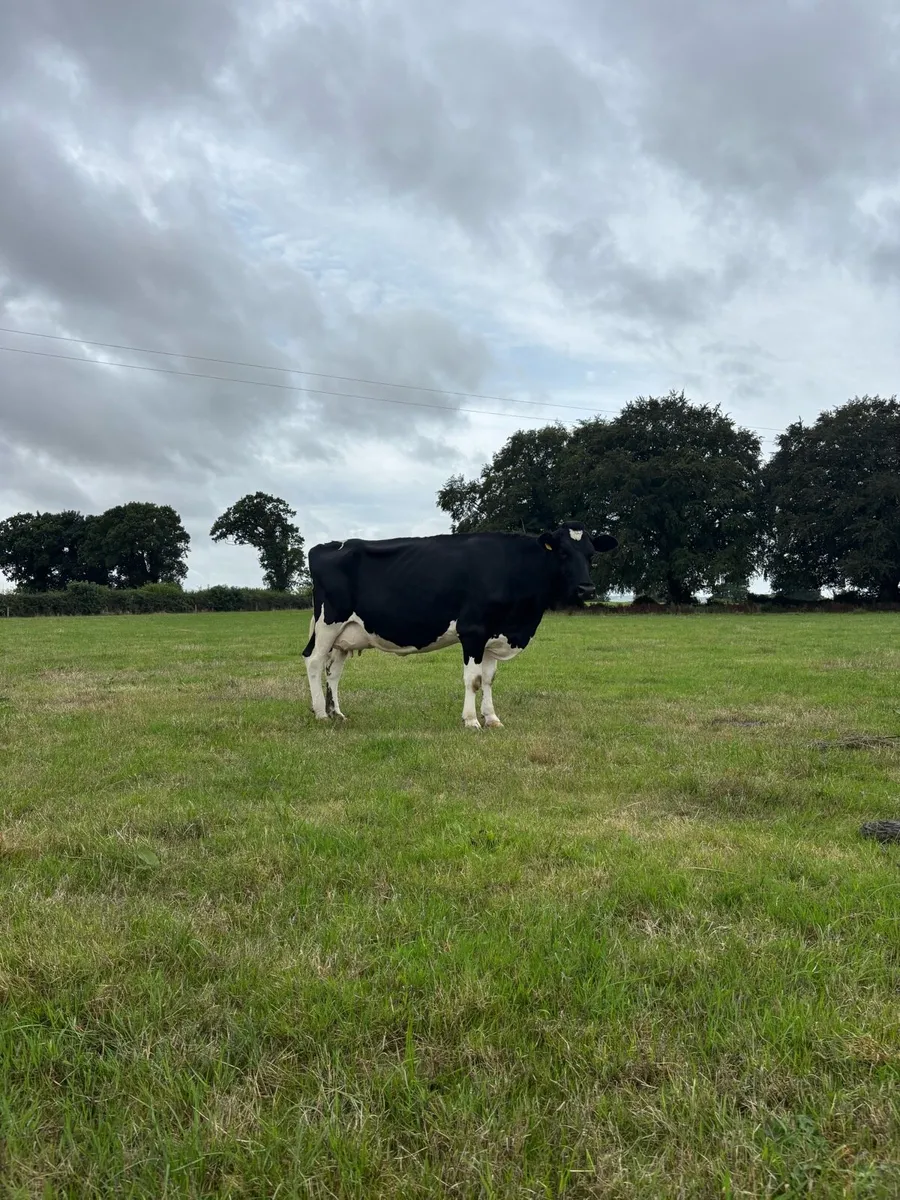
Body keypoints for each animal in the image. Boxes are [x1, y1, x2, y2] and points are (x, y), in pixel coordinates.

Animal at [302, 522, 618, 728]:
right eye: (562, 552)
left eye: (590, 554)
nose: (587, 589)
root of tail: (326, 546)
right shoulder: (473, 631)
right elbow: (473, 679)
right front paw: (471, 721)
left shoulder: (494, 634)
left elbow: (489, 679)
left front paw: (492, 718)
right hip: (329, 622)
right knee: (314, 661)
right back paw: (320, 714)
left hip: (345, 635)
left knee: (334, 672)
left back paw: (337, 714)